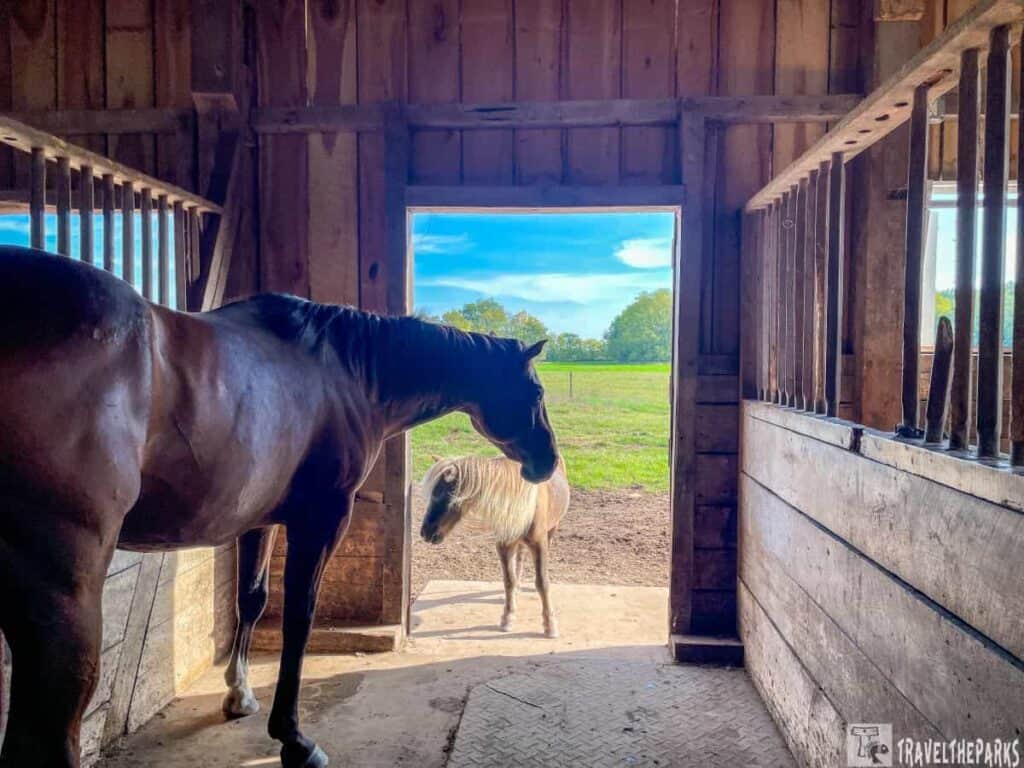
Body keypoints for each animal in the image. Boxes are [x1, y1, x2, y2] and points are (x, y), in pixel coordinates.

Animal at [420, 455, 569, 638]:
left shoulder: (539, 544)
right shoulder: (504, 545)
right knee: (520, 558)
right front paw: (508, 617)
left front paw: (550, 625)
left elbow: (542, 583)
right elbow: (509, 581)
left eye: (442, 494)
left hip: (551, 530)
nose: (425, 532)